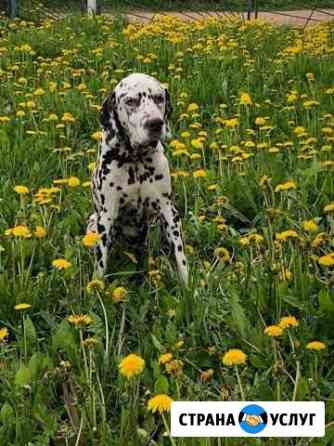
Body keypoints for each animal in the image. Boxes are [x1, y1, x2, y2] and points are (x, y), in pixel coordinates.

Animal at [87, 71, 189, 284]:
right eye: (131, 101)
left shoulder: (169, 212)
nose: (155, 123)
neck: (136, 160)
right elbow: (100, 264)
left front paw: (188, 285)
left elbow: (180, 256)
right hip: (93, 224)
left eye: (159, 98)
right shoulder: (106, 217)